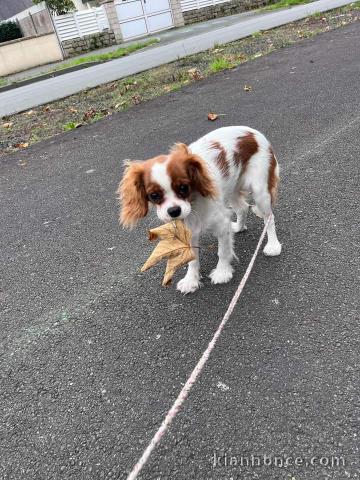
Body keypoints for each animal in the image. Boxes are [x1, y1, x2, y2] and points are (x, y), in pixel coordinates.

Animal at [118, 125, 282, 294]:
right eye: (154, 195)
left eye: (184, 187)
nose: (174, 211)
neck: (193, 203)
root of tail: (252, 131)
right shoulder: (189, 231)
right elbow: (192, 259)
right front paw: (191, 280)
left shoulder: (221, 223)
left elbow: (223, 251)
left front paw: (222, 272)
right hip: (232, 189)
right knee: (242, 208)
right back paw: (238, 227)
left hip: (260, 191)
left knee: (269, 217)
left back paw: (273, 245)